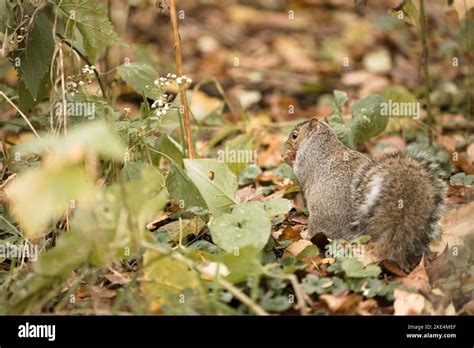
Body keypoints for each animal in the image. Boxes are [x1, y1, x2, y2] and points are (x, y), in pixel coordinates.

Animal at [284, 118, 446, 270]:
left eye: (294, 135)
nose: (285, 145)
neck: (322, 138)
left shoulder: (308, 157)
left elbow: (299, 171)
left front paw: (288, 157)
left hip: (318, 218)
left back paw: (305, 234)